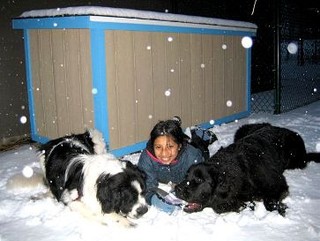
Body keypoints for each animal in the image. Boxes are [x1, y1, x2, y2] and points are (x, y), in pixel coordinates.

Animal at [175, 123, 320, 216]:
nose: (177, 189)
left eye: (199, 180)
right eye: (186, 176)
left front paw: (280, 210)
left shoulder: (277, 183)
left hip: (296, 160)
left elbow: (269, 202)